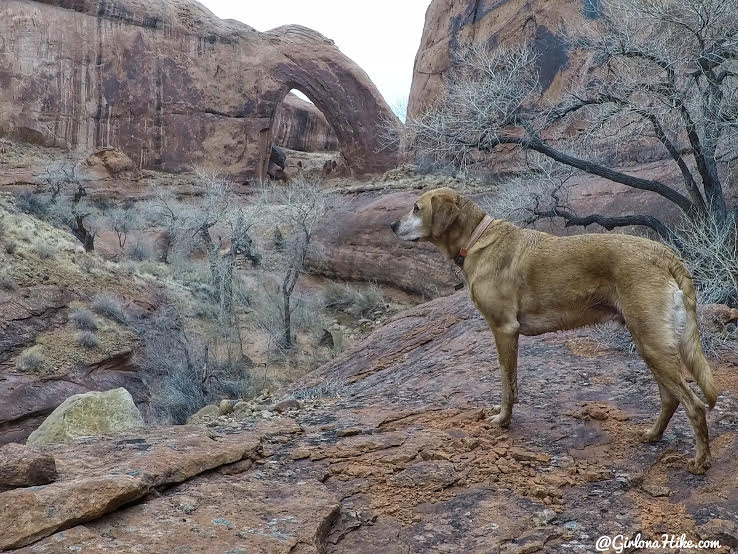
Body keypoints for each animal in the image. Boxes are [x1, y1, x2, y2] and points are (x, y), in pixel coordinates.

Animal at [388, 185, 716, 470]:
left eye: (416, 208)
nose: (391, 225)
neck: (476, 238)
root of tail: (667, 254)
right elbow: (511, 383)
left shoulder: (504, 329)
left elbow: (506, 382)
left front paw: (503, 420)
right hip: (651, 344)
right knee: (670, 398)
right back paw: (653, 435)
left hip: (652, 344)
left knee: (695, 406)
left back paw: (700, 462)